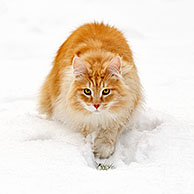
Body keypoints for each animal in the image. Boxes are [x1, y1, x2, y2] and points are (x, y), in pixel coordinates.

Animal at [38, 22, 143, 159]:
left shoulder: (122, 113)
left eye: (106, 91)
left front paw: (102, 149)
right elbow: (87, 130)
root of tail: (96, 23)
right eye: (87, 91)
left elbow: (110, 134)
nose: (96, 105)